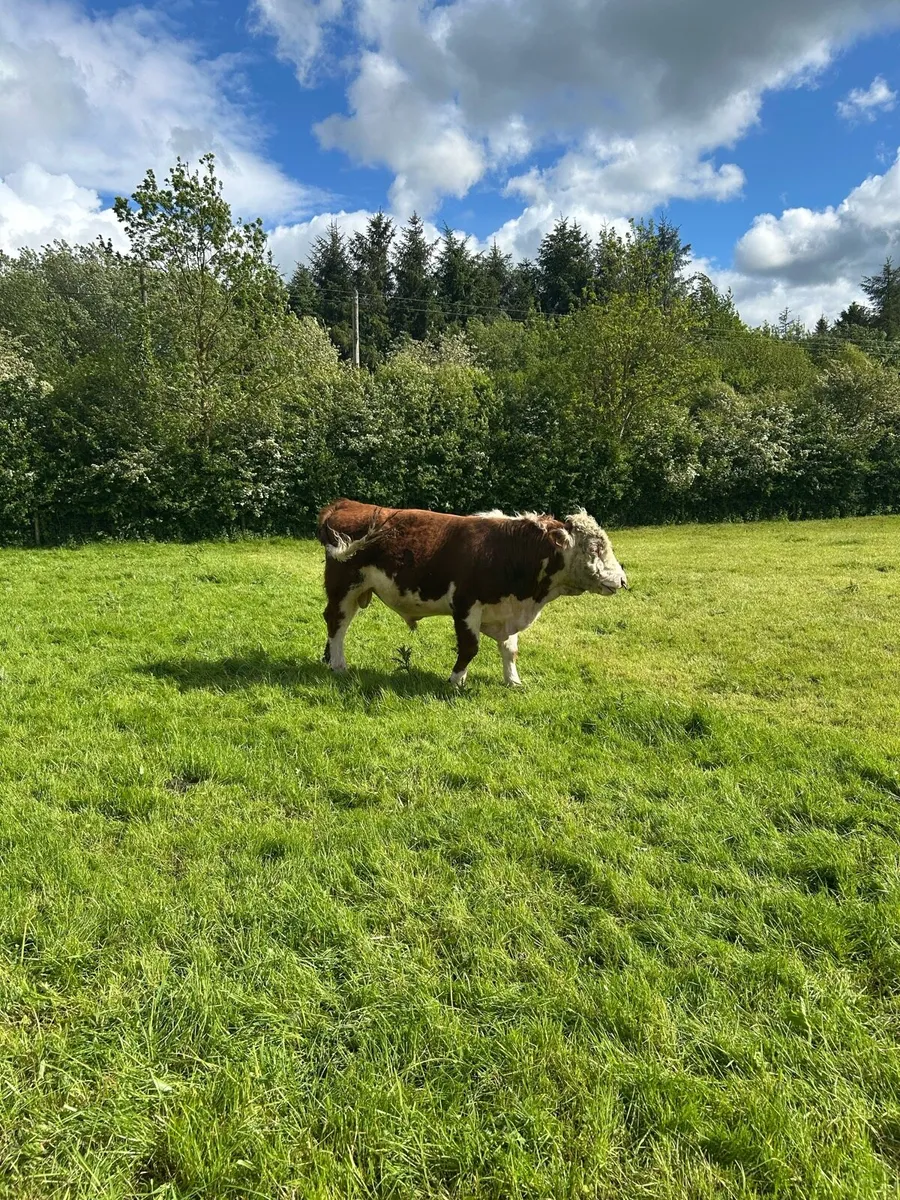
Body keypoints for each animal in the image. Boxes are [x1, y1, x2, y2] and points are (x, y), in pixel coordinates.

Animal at [316, 498, 628, 687]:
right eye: (596, 548)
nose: (623, 580)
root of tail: (346, 503)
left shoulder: (506, 611)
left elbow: (510, 649)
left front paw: (513, 681)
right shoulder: (466, 605)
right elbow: (470, 647)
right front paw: (456, 681)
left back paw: (329, 659)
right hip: (344, 588)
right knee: (337, 623)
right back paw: (339, 665)